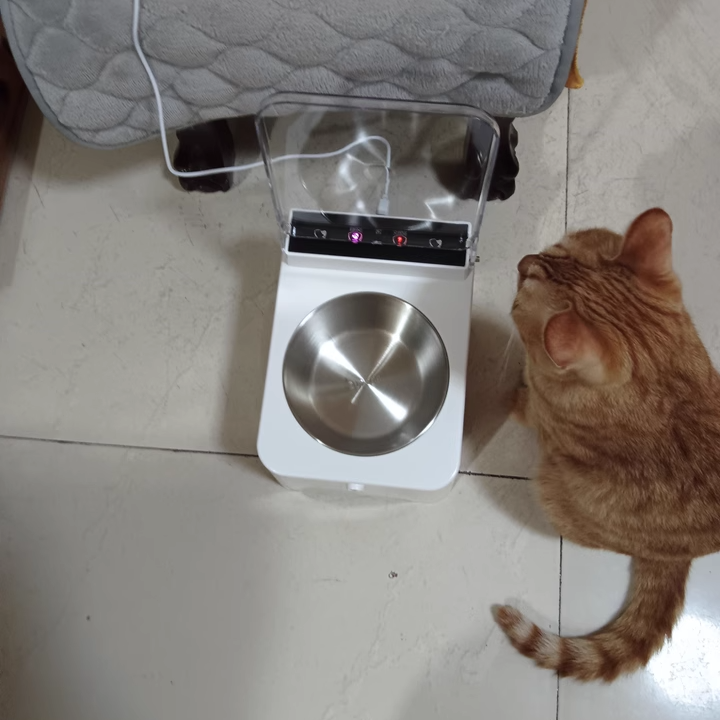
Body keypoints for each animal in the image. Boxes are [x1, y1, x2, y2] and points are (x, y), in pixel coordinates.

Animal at [494, 208, 720, 681]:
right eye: (550, 250)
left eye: (521, 294)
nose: (523, 260)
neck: (661, 377)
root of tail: (685, 555)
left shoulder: (541, 413)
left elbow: (526, 402)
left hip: (552, 492)